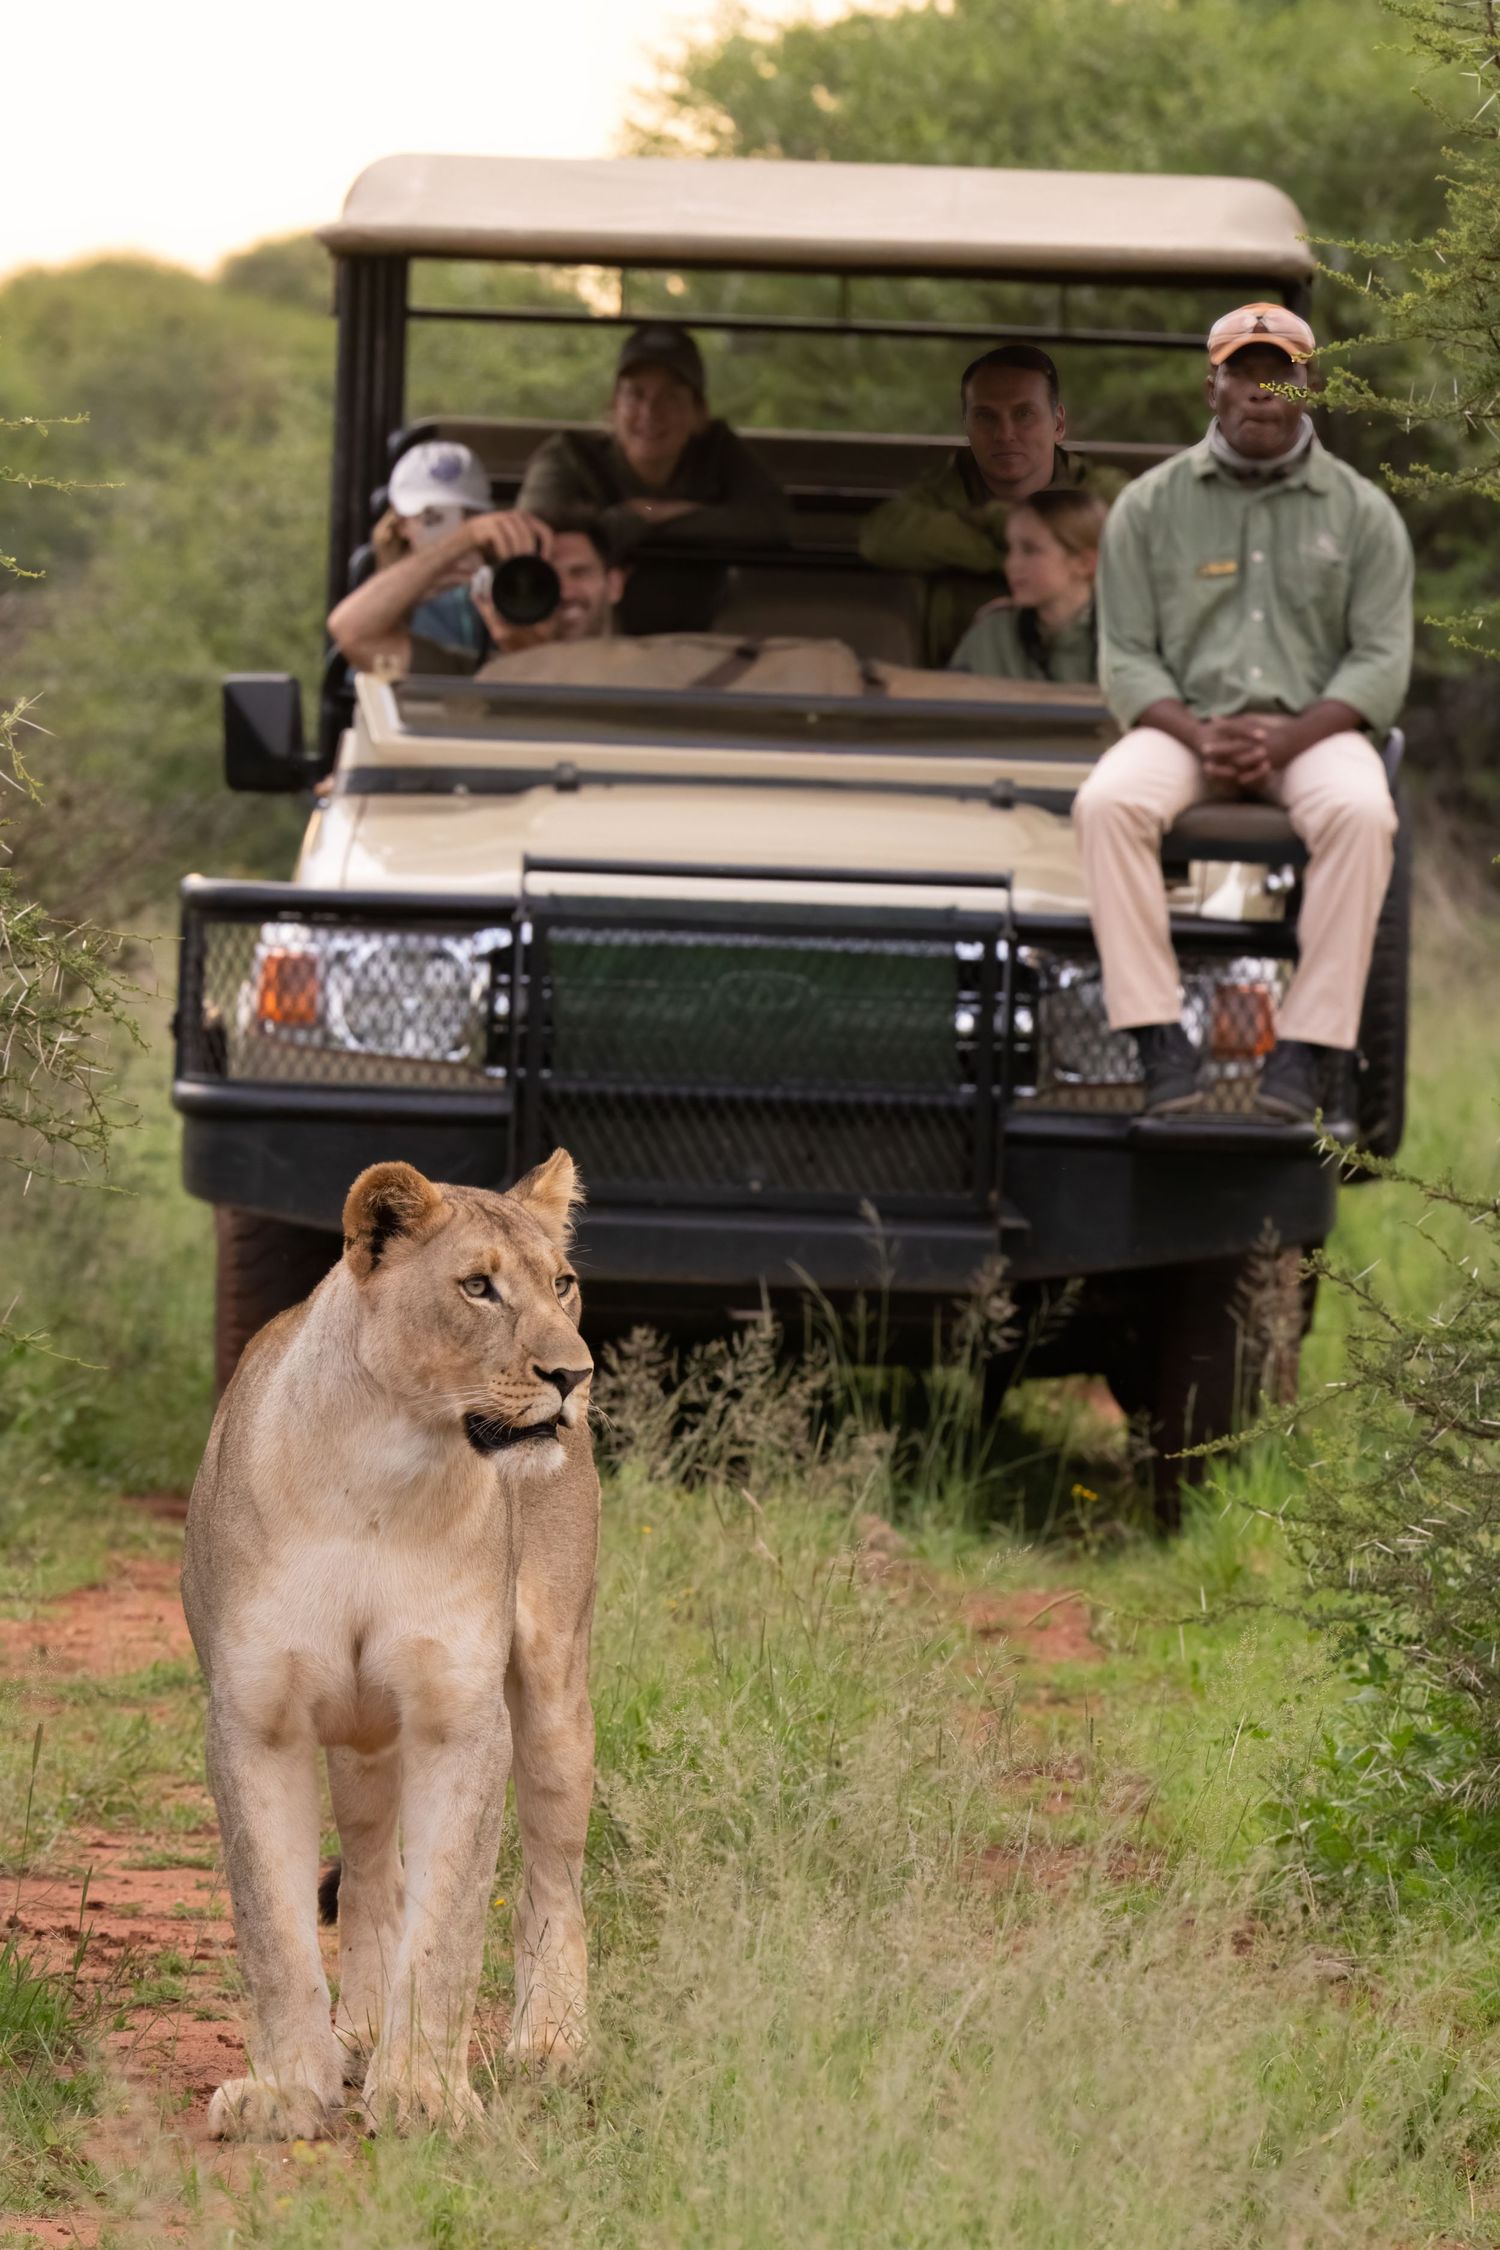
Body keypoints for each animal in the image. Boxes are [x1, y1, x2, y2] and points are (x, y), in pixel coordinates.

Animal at [181, 1151, 598, 2139]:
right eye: (478, 1287)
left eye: (562, 1283)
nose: (575, 1374)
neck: (385, 1468)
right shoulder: (255, 1719)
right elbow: (274, 1927)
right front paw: (289, 2089)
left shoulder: (460, 1719)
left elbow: (447, 1925)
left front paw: (424, 2091)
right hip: (364, 1734)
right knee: (372, 1865)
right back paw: (362, 2027)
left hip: (556, 1694)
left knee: (553, 1877)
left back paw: (554, 2041)